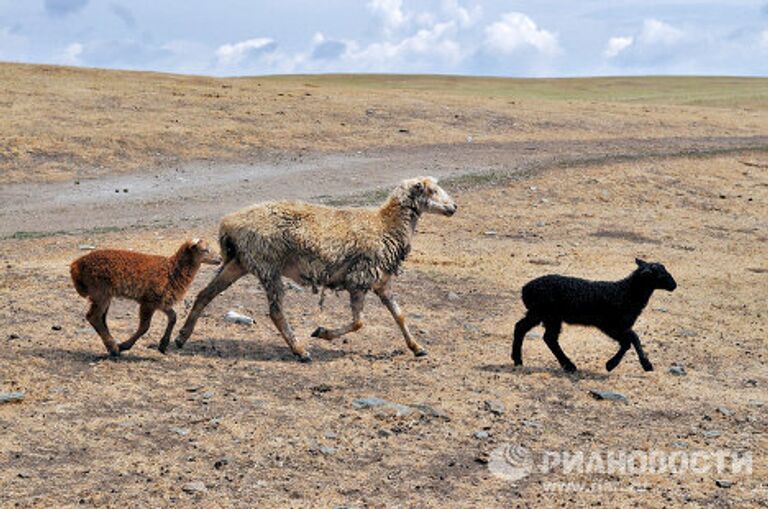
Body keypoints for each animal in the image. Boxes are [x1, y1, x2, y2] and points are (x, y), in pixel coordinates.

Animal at [70, 239, 219, 356]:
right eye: (205, 250)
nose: (220, 259)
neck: (172, 270)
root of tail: (75, 266)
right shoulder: (148, 301)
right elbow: (145, 327)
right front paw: (125, 345)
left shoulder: (160, 301)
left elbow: (173, 317)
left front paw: (163, 345)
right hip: (100, 291)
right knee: (93, 317)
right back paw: (114, 348)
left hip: (103, 294)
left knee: (100, 318)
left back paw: (111, 346)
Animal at [512, 258, 676, 374]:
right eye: (660, 274)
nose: (674, 285)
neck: (626, 293)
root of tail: (525, 289)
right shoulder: (611, 325)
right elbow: (632, 339)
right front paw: (619, 364)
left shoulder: (618, 326)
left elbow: (629, 341)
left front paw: (614, 364)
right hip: (543, 313)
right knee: (532, 331)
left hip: (547, 316)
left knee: (541, 335)